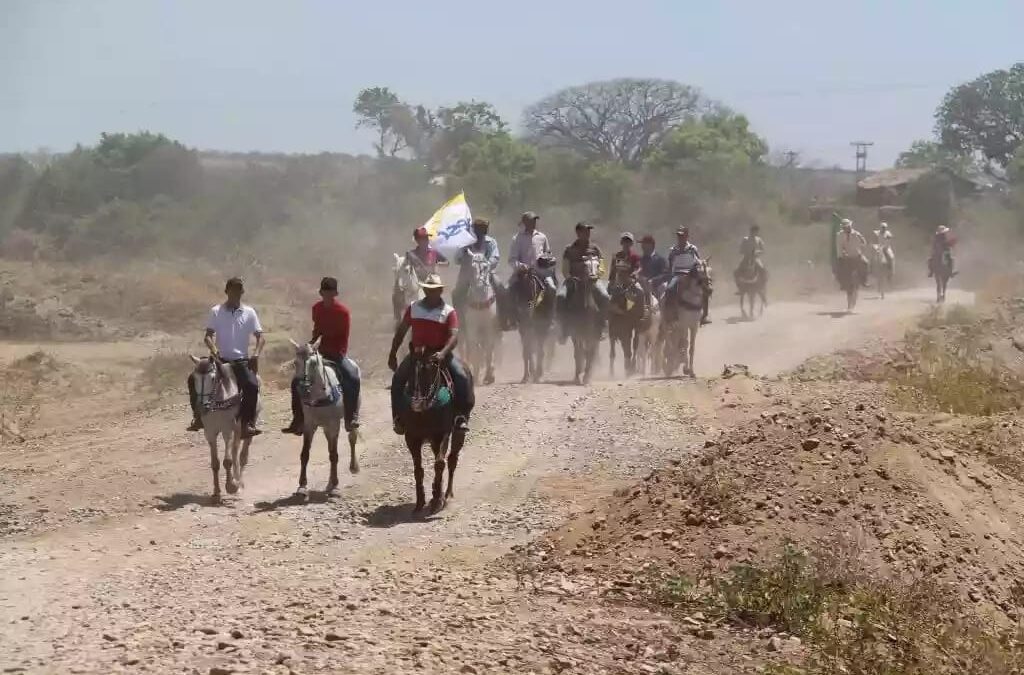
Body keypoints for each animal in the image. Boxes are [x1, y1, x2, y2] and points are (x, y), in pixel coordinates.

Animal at [288, 340, 360, 499]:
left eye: (314, 363)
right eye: (296, 362)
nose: (303, 389)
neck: (320, 397)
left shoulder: (334, 425)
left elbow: (334, 455)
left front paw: (336, 487)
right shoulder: (309, 425)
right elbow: (305, 454)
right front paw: (302, 486)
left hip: (351, 416)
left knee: (352, 437)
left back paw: (353, 467)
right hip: (325, 427)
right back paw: (329, 484)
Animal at [460, 251, 499, 385]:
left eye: (485, 267)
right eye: (472, 267)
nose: (479, 285)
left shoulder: (490, 329)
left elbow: (489, 351)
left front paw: (489, 376)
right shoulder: (472, 330)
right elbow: (476, 352)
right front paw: (476, 377)